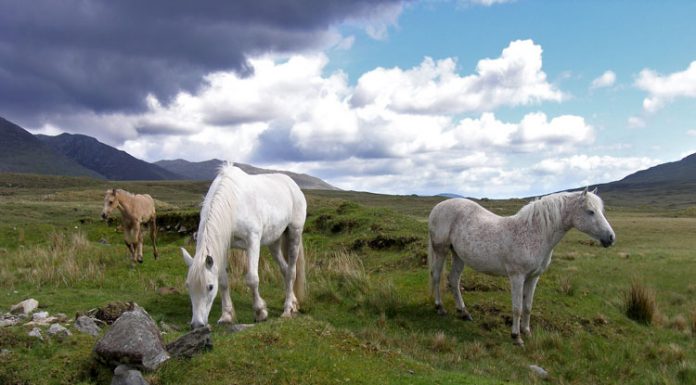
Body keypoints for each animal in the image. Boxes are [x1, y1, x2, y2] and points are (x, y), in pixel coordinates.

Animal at [181, 162, 306, 328]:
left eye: (210, 287)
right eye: (188, 286)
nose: (197, 324)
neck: (232, 202)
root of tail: (293, 185)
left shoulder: (253, 241)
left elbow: (252, 279)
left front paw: (260, 312)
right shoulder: (224, 246)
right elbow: (223, 281)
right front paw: (226, 316)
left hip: (294, 233)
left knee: (292, 271)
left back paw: (287, 310)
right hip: (274, 242)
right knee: (285, 270)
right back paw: (293, 304)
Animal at [430, 187, 616, 344]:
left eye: (601, 211)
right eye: (590, 211)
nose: (611, 238)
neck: (534, 232)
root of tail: (438, 207)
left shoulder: (533, 277)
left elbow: (527, 306)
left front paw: (526, 331)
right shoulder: (517, 277)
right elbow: (517, 308)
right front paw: (516, 336)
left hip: (458, 255)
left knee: (454, 280)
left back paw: (464, 313)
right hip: (441, 251)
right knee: (437, 277)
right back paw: (440, 308)